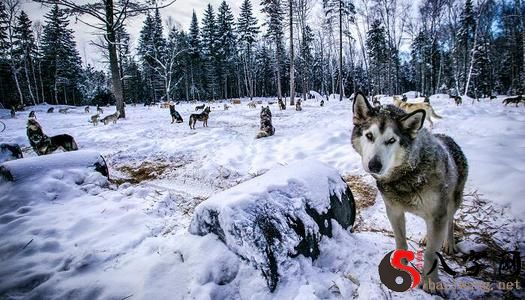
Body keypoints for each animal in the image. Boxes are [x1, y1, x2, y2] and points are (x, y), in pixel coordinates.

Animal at [352, 93, 466, 292]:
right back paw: (428, 238)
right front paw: (400, 265)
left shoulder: (438, 214)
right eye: (369, 136)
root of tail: (448, 138)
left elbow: (431, 254)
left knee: (450, 220)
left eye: (391, 140)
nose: (374, 165)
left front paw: (430, 281)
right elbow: (401, 241)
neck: (407, 175)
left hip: (451, 203)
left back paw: (449, 243)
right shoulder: (394, 211)